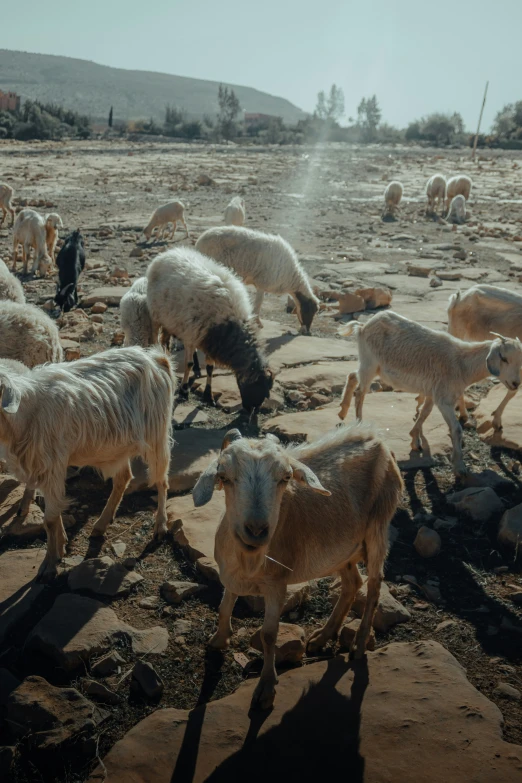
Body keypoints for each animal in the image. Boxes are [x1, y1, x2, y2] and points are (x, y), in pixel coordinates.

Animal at [0, 350, 176, 580]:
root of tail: (156, 358)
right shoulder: (44, 468)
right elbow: (54, 515)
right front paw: (61, 546)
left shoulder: (52, 466)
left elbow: (50, 519)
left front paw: (49, 564)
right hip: (119, 445)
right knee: (124, 478)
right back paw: (101, 524)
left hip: (156, 434)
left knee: (162, 480)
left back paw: (160, 526)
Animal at [144, 248, 270, 414]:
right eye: (256, 387)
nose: (249, 413)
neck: (229, 324)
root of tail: (169, 252)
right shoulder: (191, 336)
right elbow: (188, 363)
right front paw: (184, 390)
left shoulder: (208, 340)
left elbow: (210, 367)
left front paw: (208, 395)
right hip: (158, 317)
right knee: (161, 340)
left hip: (176, 323)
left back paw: (194, 367)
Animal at [193, 426, 400, 712]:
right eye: (224, 476)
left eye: (286, 478)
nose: (256, 530)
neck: (248, 560)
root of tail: (378, 439)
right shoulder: (231, 575)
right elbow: (225, 606)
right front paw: (218, 640)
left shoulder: (276, 584)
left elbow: (269, 634)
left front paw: (266, 689)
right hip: (342, 550)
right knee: (352, 584)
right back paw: (322, 638)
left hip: (378, 528)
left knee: (374, 585)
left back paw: (358, 645)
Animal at [338, 310, 520, 472]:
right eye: (503, 358)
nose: (516, 383)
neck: (462, 364)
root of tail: (363, 326)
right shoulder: (443, 399)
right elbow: (456, 429)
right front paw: (459, 466)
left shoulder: (434, 393)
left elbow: (425, 413)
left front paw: (415, 440)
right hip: (369, 363)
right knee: (360, 393)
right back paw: (359, 423)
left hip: (372, 366)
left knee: (353, 376)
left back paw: (342, 412)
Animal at [444, 286, 520, 432]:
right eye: (503, 358)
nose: (514, 383)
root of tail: (457, 298)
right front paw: (496, 422)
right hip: (457, 333)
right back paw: (463, 415)